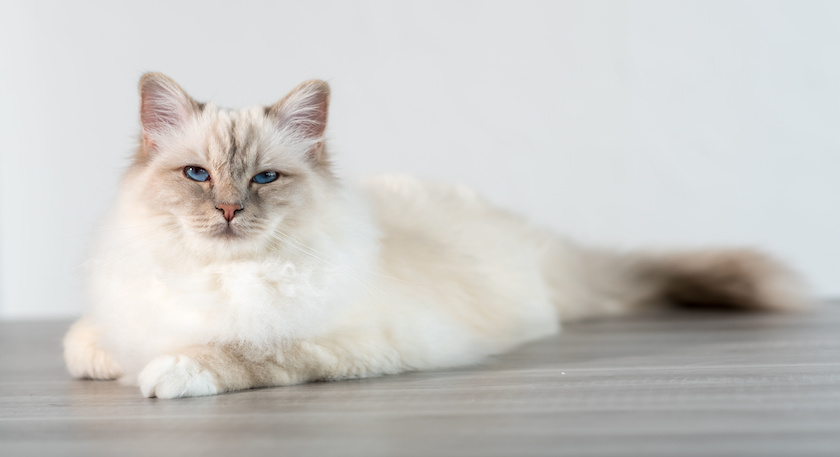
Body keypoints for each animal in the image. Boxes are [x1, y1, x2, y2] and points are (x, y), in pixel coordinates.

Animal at [62, 73, 812, 398]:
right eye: (197, 174)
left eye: (265, 178)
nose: (226, 211)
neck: (219, 274)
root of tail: (519, 231)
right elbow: (88, 341)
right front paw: (103, 356)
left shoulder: (335, 342)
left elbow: (245, 351)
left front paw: (165, 372)